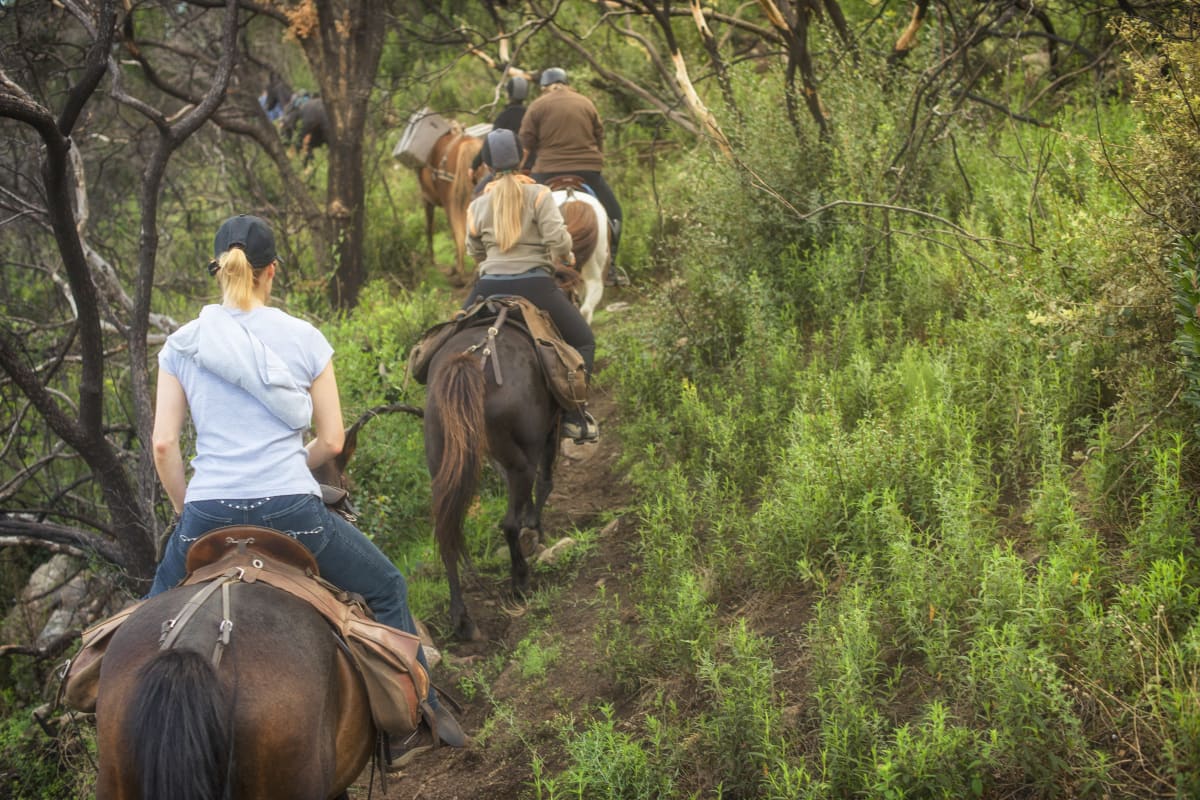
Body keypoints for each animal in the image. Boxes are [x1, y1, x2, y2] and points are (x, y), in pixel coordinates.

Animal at [417, 126, 482, 283]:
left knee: (458, 234)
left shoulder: (427, 199)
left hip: (451, 203)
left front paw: (432, 260)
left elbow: (429, 228)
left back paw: (461, 274)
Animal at [422, 316, 556, 642]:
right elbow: (545, 477)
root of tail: (473, 363)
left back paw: (462, 620)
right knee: (509, 522)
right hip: (522, 456)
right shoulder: (549, 430)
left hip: (441, 459)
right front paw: (536, 529)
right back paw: (520, 579)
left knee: (447, 538)